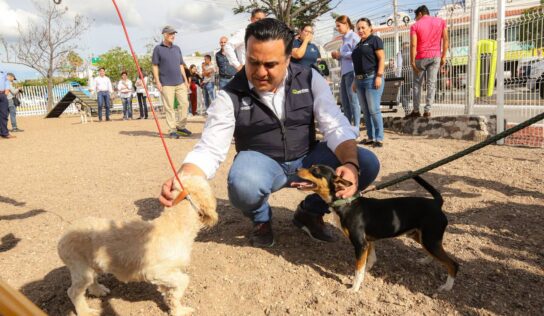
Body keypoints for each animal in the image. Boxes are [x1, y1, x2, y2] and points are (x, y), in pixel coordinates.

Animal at [55, 175, 217, 316]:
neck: (175, 223)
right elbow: (183, 281)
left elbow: (171, 295)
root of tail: (62, 238)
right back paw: (85, 312)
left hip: (91, 265)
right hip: (81, 269)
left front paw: (177, 310)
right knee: (73, 292)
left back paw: (99, 290)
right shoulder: (156, 271)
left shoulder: (169, 274)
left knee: (91, 282)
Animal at [296, 165, 456, 292]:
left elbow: (358, 269)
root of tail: (436, 203)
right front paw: (365, 273)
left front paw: (354, 288)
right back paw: (425, 260)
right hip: (421, 237)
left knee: (454, 264)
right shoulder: (368, 242)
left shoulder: (360, 244)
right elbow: (369, 261)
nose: (297, 169)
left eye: (315, 170)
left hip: (430, 239)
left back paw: (447, 287)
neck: (346, 203)